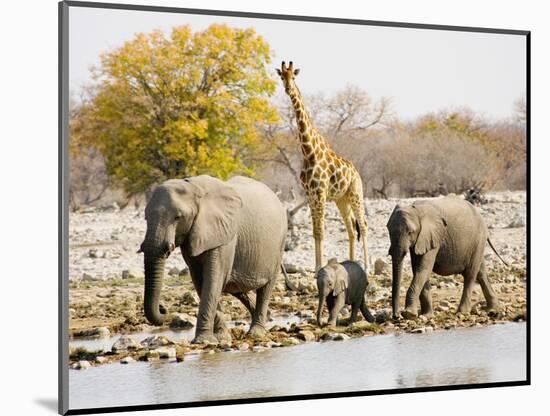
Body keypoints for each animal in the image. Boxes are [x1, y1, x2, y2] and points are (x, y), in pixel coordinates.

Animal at [139, 176, 288, 344]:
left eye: (178, 217)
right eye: (145, 218)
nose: (163, 308)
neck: (192, 187)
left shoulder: (224, 235)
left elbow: (212, 280)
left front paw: (203, 341)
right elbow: (200, 280)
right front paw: (220, 337)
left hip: (279, 246)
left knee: (265, 288)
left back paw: (256, 333)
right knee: (236, 287)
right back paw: (268, 317)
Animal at [278, 60, 374, 272]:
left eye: (294, 76)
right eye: (282, 76)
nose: (288, 89)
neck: (308, 151)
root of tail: (357, 173)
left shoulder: (320, 193)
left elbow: (321, 231)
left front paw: (318, 268)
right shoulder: (310, 194)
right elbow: (315, 231)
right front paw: (316, 268)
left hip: (355, 193)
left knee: (363, 225)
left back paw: (367, 267)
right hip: (341, 199)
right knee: (351, 228)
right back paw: (352, 263)